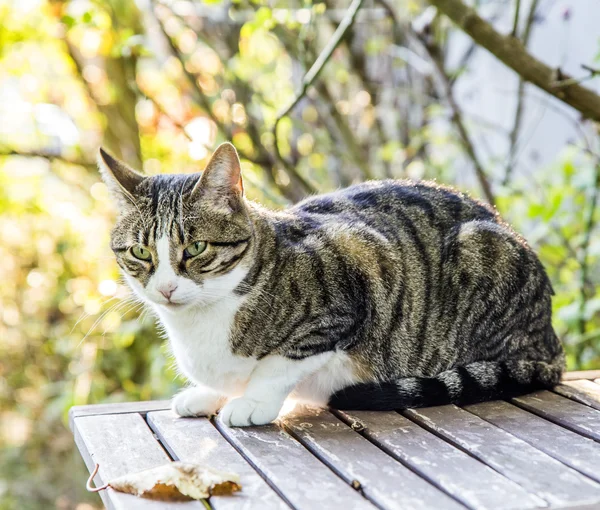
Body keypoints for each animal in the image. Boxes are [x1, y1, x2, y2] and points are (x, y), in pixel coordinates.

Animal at [98, 140, 564, 426]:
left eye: (195, 248)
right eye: (140, 253)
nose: (165, 289)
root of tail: (549, 339)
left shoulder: (351, 284)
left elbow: (278, 364)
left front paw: (252, 402)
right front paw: (207, 393)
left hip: (480, 246)